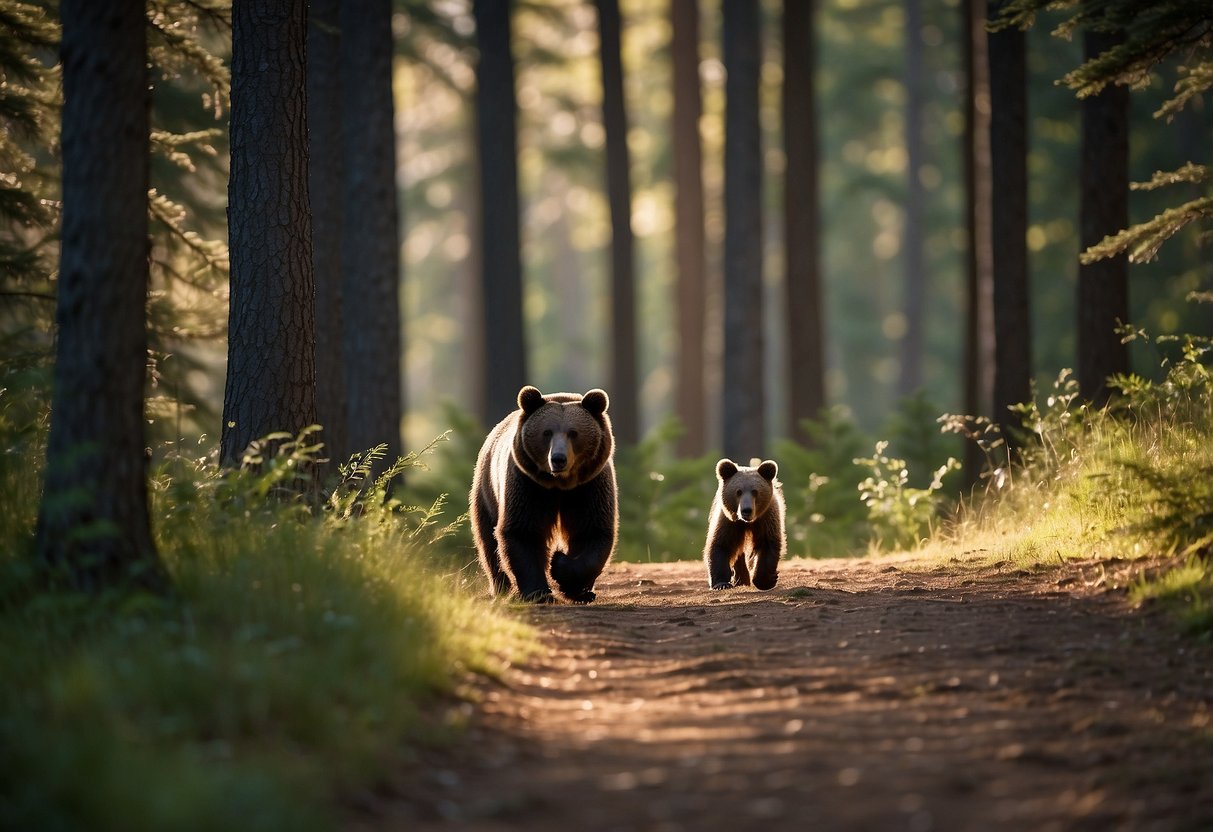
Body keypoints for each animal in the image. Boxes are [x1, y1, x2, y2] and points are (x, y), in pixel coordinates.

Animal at [465, 385, 616, 606]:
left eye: (573, 433)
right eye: (547, 432)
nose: (558, 459)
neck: (560, 484)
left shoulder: (589, 485)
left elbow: (591, 531)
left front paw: (564, 572)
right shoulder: (527, 484)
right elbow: (523, 531)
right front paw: (539, 592)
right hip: (487, 490)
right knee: (488, 541)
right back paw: (501, 587)